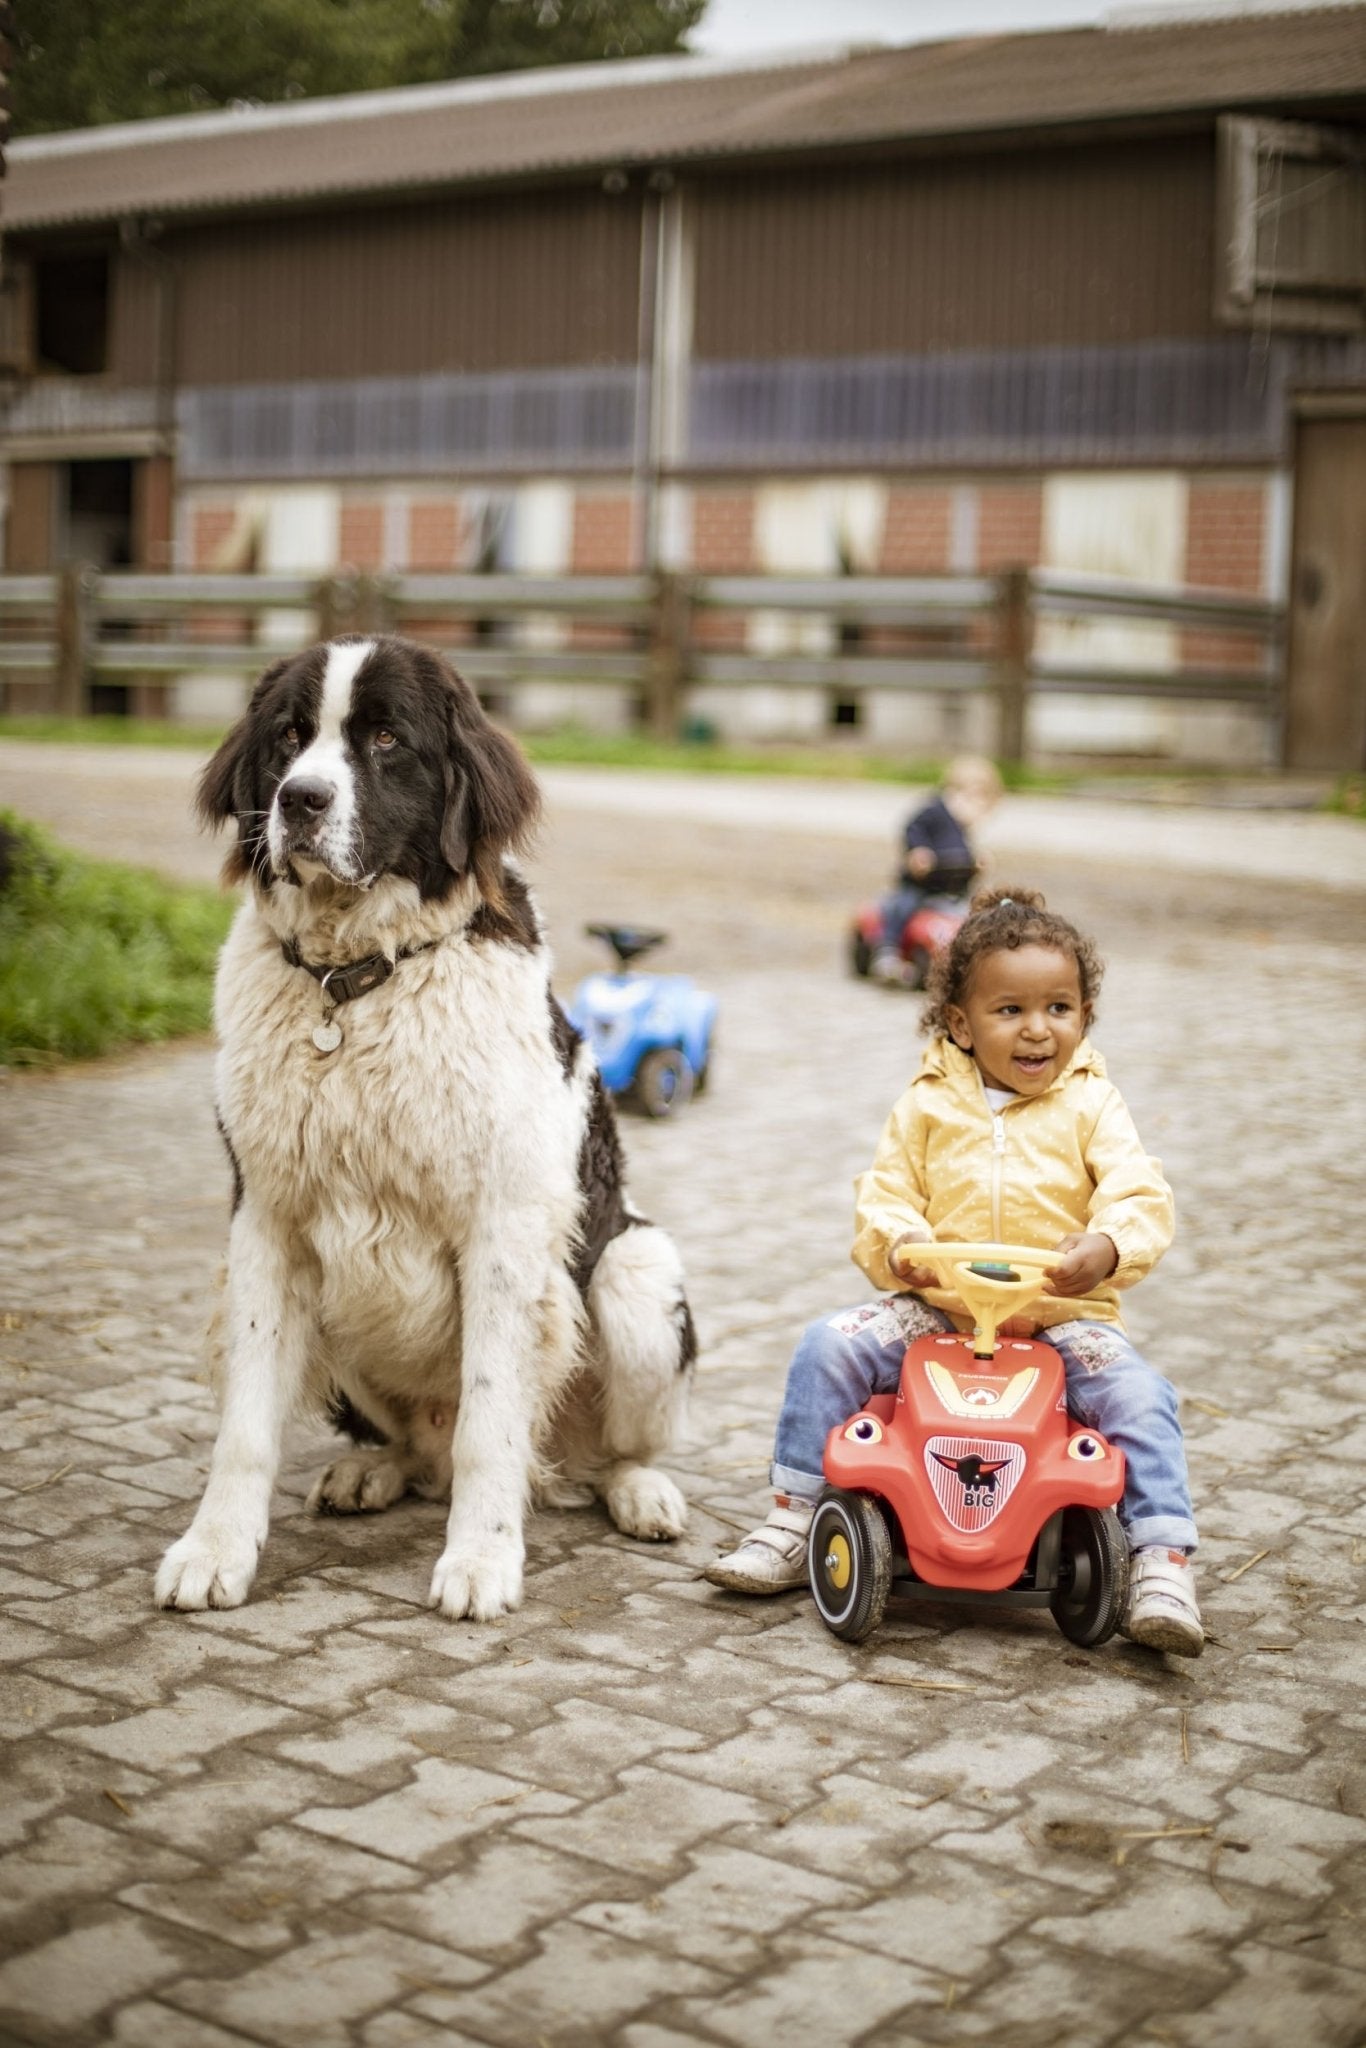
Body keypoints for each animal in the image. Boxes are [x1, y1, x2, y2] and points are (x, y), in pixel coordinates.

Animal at [156, 630, 700, 1622]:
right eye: (289, 736)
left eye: (385, 740)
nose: (300, 800)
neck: (354, 982)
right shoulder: (265, 1223)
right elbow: (245, 1424)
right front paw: (213, 1551)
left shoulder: (504, 1231)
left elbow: (491, 1420)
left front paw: (481, 1559)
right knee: (420, 1450)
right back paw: (374, 1471)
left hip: (637, 1277)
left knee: (595, 1451)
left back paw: (639, 1491)